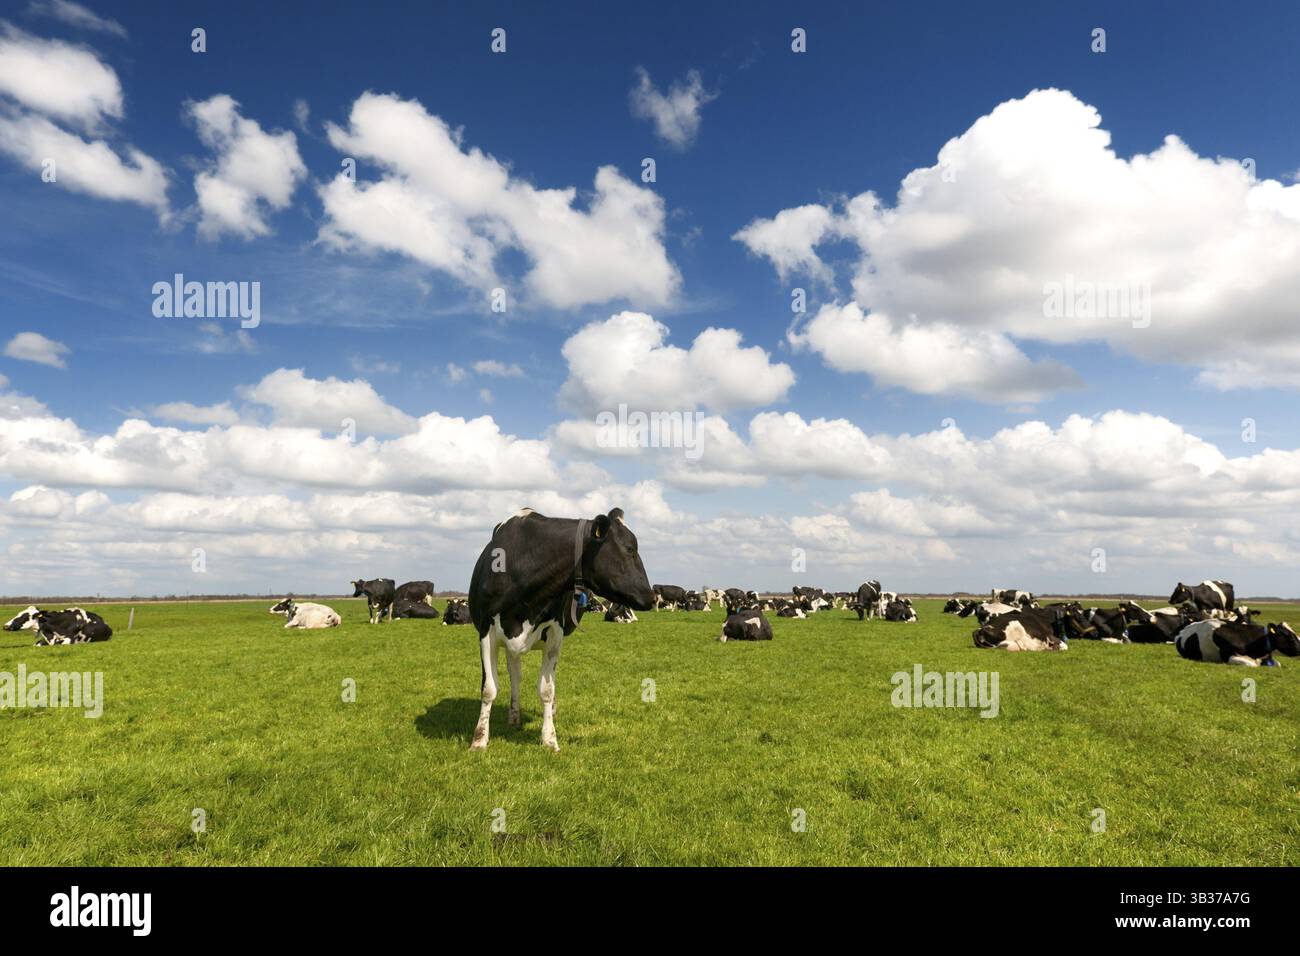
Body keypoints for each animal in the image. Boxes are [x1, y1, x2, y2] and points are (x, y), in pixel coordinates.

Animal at [466, 507, 655, 752]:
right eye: (630, 549)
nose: (652, 596)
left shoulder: (555, 635)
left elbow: (547, 689)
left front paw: (549, 738)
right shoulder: (486, 633)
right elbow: (489, 688)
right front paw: (479, 740)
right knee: (515, 675)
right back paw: (514, 715)